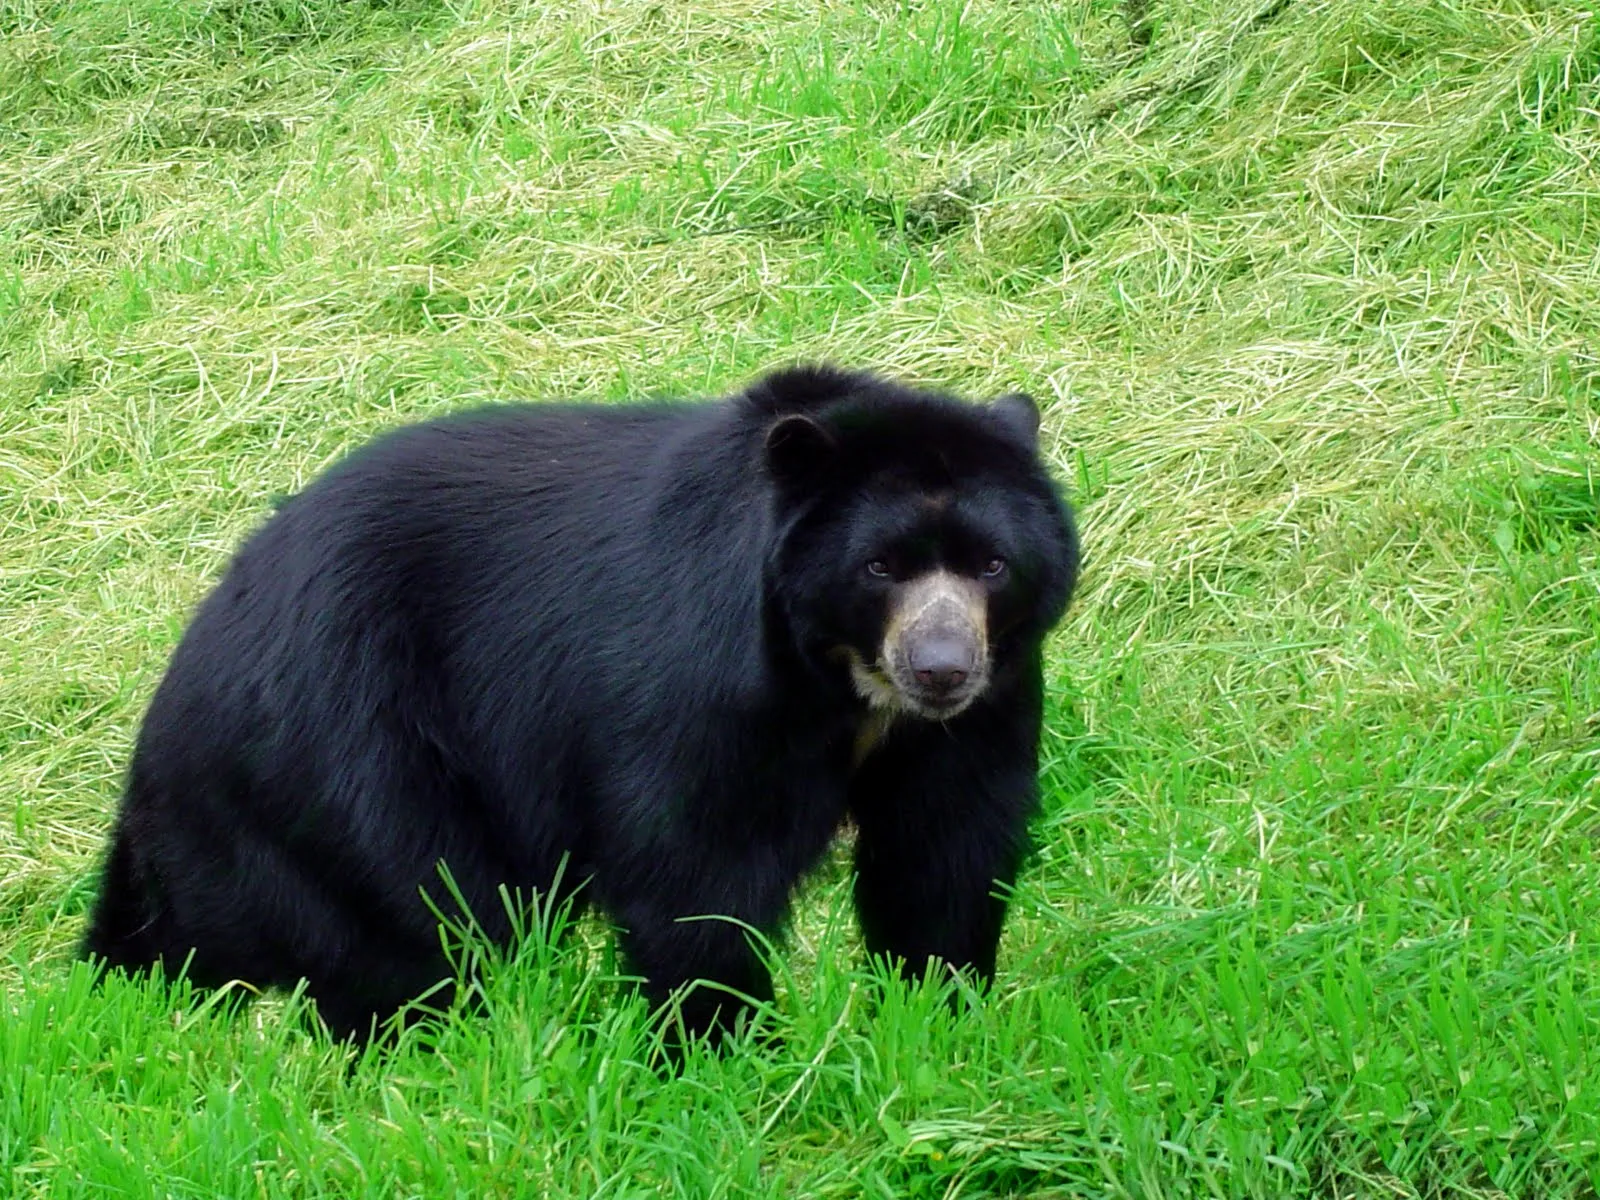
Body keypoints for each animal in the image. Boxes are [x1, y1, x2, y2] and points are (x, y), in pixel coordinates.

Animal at [90, 364, 1088, 1043]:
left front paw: (939, 1016)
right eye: (880, 566)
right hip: (339, 756)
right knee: (417, 922)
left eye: (991, 566)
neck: (844, 680)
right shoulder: (704, 681)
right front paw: (724, 1048)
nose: (942, 668)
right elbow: (696, 865)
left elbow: (943, 853)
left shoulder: (986, 705)